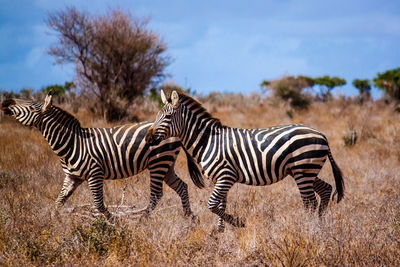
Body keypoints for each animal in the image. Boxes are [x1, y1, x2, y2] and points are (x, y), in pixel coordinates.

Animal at [1, 93, 203, 221]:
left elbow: (98, 204)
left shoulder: (94, 174)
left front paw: (113, 222)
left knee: (156, 195)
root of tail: (177, 133)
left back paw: (143, 221)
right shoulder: (72, 177)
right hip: (166, 164)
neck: (72, 143)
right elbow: (58, 202)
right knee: (182, 186)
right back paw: (190, 218)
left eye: (28, 106)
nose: (5, 102)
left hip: (158, 162)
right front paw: (52, 223)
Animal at [145, 90, 346, 232]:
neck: (208, 141)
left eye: (168, 117)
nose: (148, 138)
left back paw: (309, 228)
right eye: (156, 115)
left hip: (303, 170)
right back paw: (320, 223)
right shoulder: (221, 179)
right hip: (305, 170)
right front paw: (218, 232)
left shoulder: (226, 176)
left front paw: (238, 222)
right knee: (326, 189)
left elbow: (212, 204)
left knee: (310, 202)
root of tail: (322, 135)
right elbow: (220, 204)